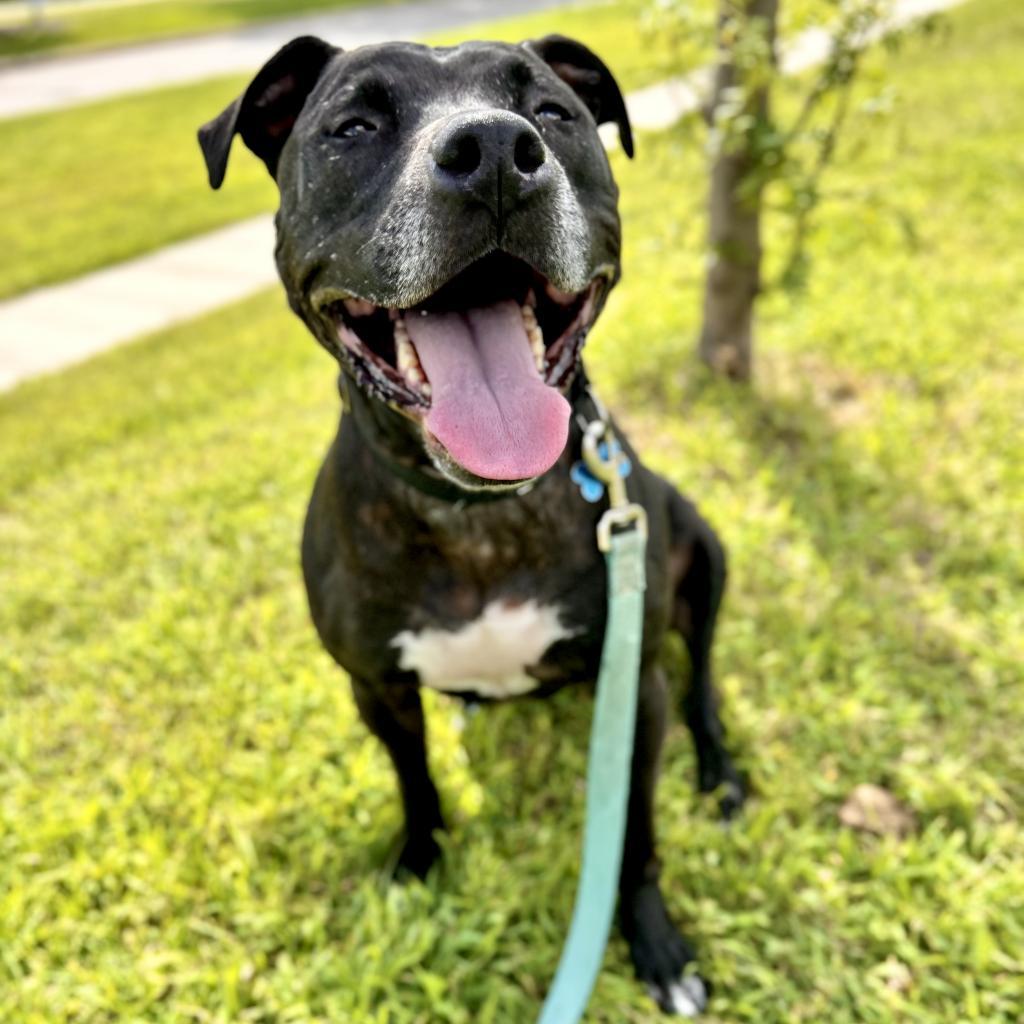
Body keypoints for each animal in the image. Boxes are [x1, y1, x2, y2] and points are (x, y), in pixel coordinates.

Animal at [197, 32, 745, 1015]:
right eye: (354, 126)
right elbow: (415, 782)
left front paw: (655, 943)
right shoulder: (375, 687)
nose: (493, 150)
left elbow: (634, 832)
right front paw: (419, 861)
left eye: (554, 113)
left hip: (705, 560)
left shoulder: (635, 686)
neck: (477, 513)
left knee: (705, 685)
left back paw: (719, 772)